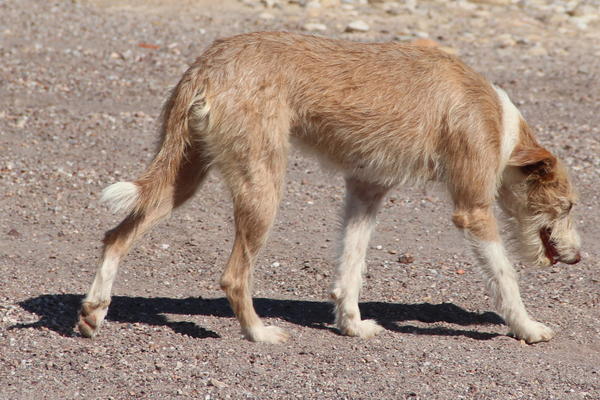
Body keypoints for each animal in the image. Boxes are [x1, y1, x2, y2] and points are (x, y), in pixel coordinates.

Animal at [76, 32, 580, 344]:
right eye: (570, 206)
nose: (578, 257)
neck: (500, 125)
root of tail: (208, 63)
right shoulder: (473, 211)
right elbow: (506, 276)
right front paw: (527, 327)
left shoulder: (365, 192)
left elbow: (350, 269)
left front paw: (351, 325)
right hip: (262, 189)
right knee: (233, 276)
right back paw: (259, 334)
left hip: (182, 180)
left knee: (115, 236)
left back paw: (94, 310)